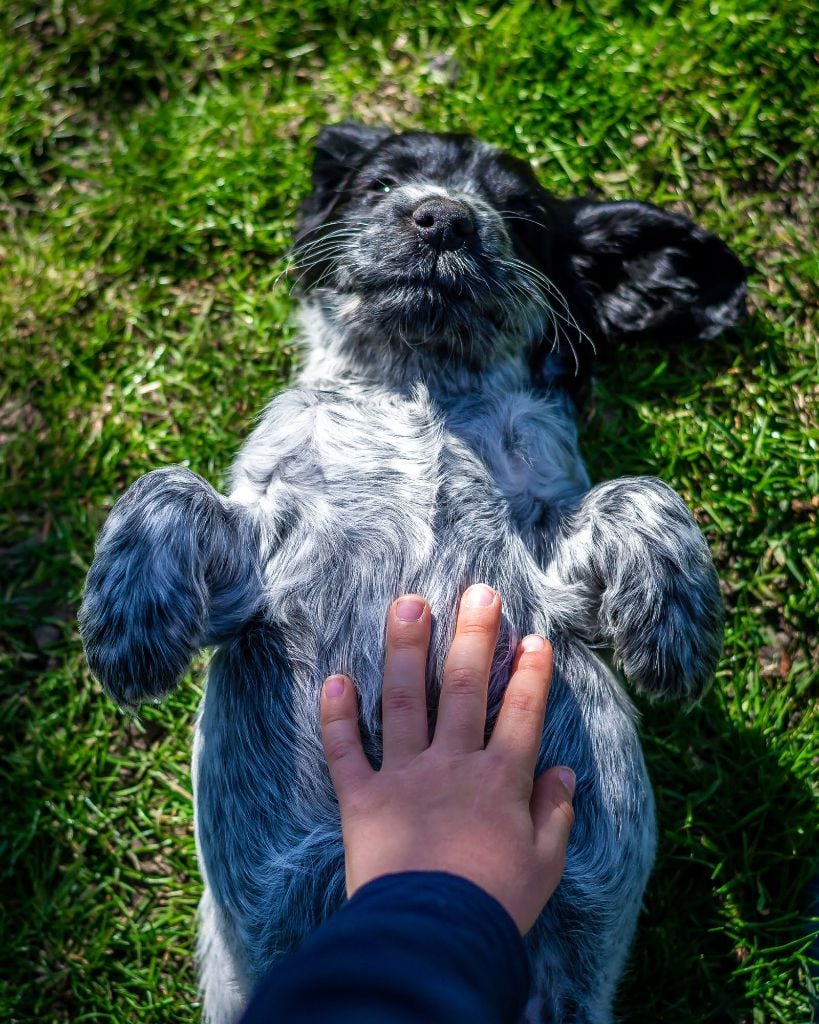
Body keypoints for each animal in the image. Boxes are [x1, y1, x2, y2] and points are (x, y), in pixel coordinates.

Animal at [79, 123, 745, 1019]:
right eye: (381, 184)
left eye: (517, 215)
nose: (442, 219)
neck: (415, 388)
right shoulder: (250, 563)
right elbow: (165, 486)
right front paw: (127, 626)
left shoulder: (550, 545)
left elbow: (640, 490)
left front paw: (677, 628)